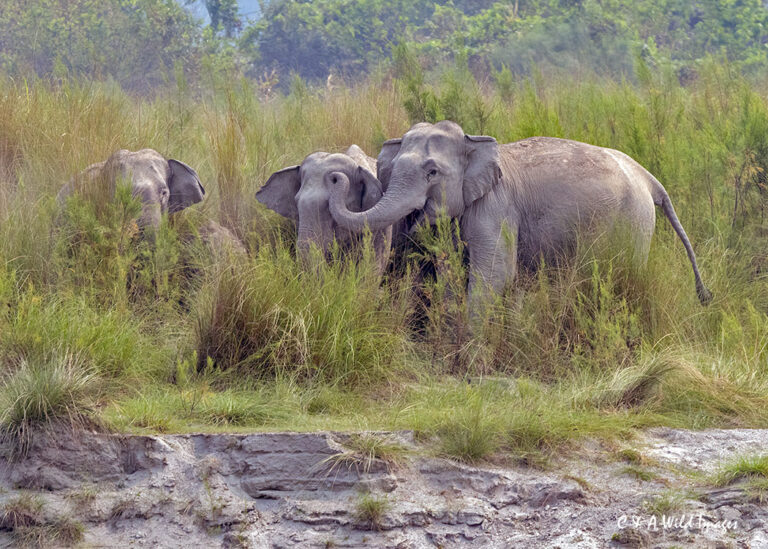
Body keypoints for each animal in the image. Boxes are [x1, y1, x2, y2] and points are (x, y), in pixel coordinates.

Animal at [327, 120, 711, 309]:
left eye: (432, 172)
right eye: (390, 172)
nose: (336, 177)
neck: (474, 142)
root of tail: (648, 178)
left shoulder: (497, 206)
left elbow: (494, 276)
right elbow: (450, 277)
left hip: (632, 221)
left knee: (620, 276)